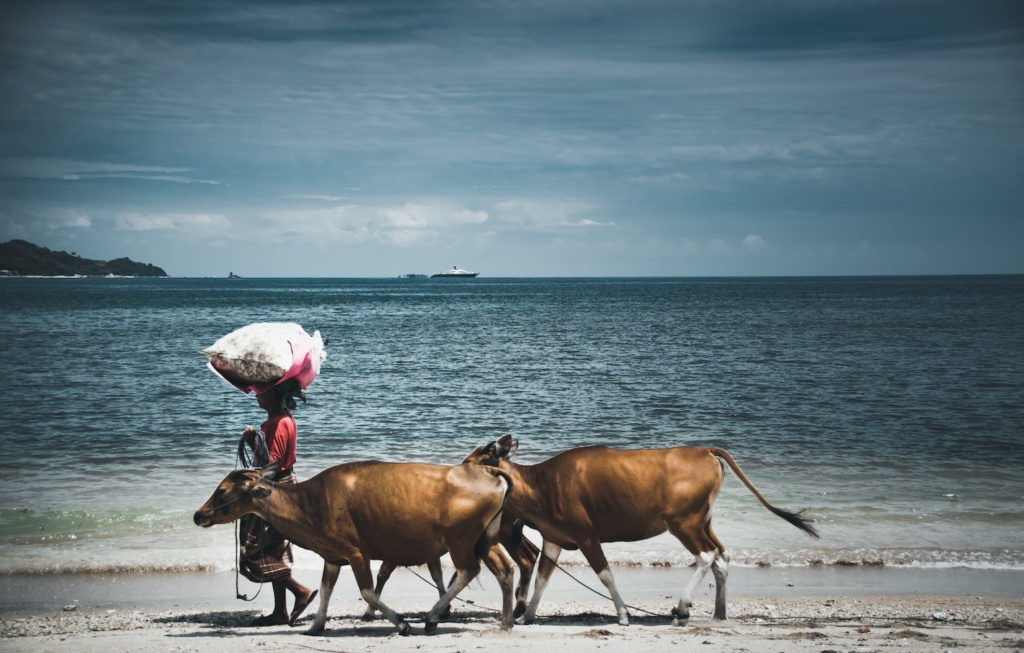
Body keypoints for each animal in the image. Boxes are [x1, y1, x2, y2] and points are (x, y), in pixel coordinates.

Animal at [192, 460, 516, 634]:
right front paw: (315, 626)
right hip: (486, 541)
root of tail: (489, 472)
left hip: (460, 541)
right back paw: (506, 621)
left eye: (222, 490)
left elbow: (368, 592)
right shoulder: (333, 556)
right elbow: (325, 590)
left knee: (467, 571)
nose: (198, 515)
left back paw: (433, 616)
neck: (311, 501)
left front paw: (401, 623)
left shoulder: (357, 554)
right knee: (506, 570)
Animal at [468, 438, 819, 626]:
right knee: (723, 557)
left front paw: (623, 614)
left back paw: (683, 607)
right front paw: (526, 616)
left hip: (683, 523)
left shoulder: (587, 536)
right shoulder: (555, 538)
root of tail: (704, 450)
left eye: (480, 454)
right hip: (704, 521)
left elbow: (605, 574)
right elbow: (543, 577)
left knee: (707, 556)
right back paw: (719, 612)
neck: (543, 483)